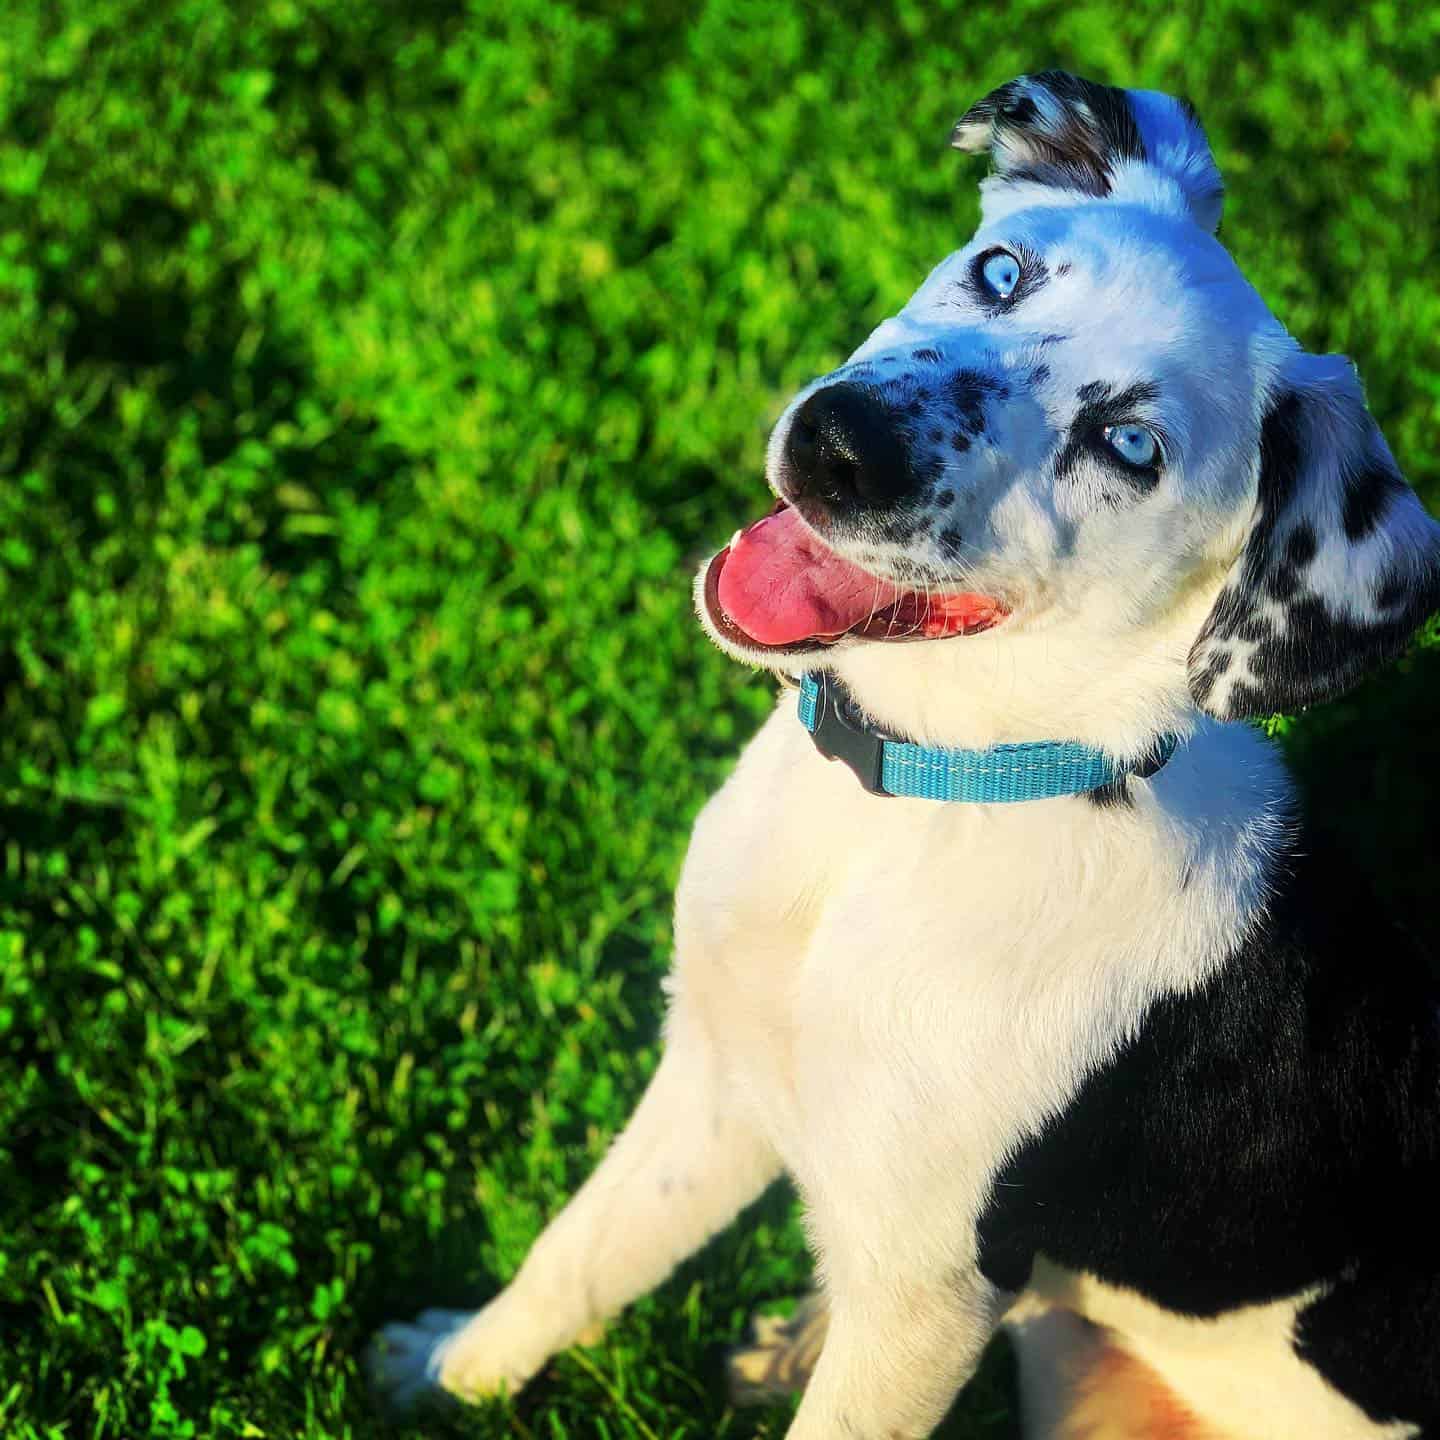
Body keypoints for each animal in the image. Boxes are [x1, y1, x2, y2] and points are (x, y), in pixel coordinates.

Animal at [371, 75, 1440, 1440]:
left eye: (1131, 447)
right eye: (1001, 269)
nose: (837, 446)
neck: (922, 804)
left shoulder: (932, 1291)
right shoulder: (713, 1079)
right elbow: (581, 1253)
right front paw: (453, 1369)